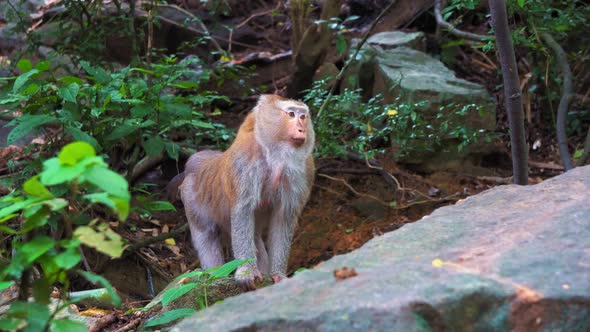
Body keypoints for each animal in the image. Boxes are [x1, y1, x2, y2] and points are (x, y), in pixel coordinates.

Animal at [168, 94, 314, 290]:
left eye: (303, 116)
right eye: (291, 114)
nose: (301, 129)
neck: (275, 154)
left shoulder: (304, 172)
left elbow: (283, 218)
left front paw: (278, 275)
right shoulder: (245, 162)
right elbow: (242, 211)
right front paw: (246, 273)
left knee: (255, 240)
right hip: (191, 197)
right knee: (206, 235)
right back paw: (214, 276)